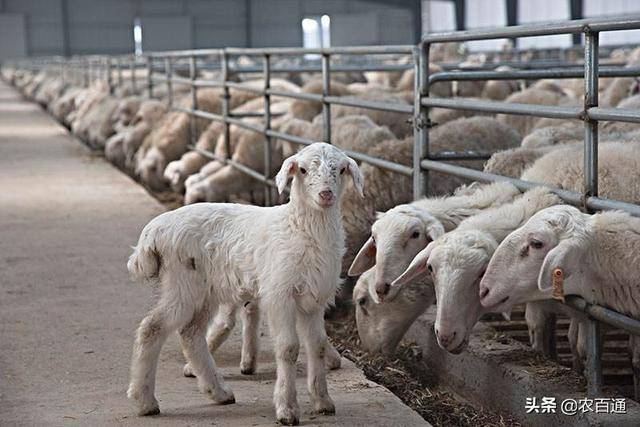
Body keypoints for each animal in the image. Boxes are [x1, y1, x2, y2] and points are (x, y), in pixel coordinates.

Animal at [127, 144, 362, 424]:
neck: (298, 228)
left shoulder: (314, 299)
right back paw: (145, 401)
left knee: (191, 333)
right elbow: (288, 348)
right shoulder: (279, 294)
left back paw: (219, 392)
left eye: (341, 169)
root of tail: (155, 230)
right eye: (303, 170)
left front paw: (323, 402)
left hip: (205, 290)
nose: (326, 194)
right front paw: (287, 409)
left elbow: (316, 346)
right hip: (182, 282)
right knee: (152, 328)